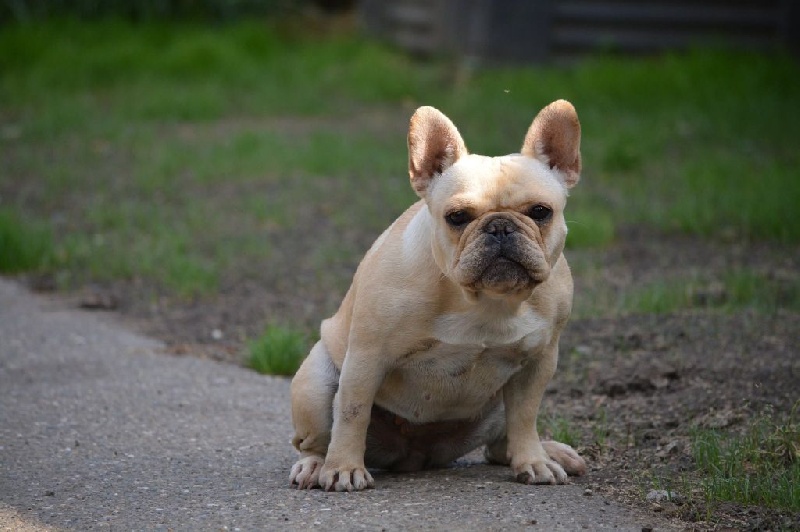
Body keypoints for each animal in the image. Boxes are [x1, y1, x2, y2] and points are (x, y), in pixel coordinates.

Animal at [289, 100, 587, 491]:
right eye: (457, 217)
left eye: (540, 212)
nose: (500, 227)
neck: (485, 301)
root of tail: (417, 455)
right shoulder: (367, 357)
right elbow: (353, 413)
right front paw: (343, 469)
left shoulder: (538, 362)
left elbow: (525, 416)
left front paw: (533, 461)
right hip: (315, 385)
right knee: (317, 437)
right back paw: (314, 465)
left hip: (495, 407)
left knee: (500, 442)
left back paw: (548, 451)